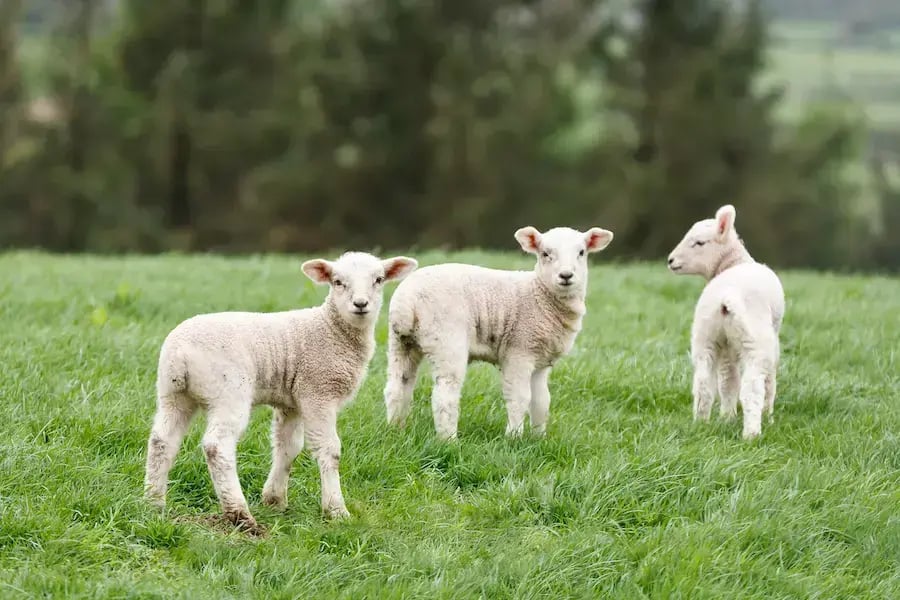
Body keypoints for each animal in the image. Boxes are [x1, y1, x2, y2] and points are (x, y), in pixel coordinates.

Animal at [144, 251, 418, 532]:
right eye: (337, 282)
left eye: (379, 279)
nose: (360, 304)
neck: (331, 329)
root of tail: (180, 353)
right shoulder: (318, 391)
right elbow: (329, 449)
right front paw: (336, 510)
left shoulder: (292, 401)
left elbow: (288, 447)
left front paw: (274, 500)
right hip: (228, 391)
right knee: (216, 446)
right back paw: (240, 515)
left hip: (172, 393)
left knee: (161, 441)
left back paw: (153, 503)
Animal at [384, 225, 616, 440]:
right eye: (545, 253)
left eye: (581, 252)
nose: (566, 275)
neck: (540, 295)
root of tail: (407, 301)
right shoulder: (519, 350)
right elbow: (520, 398)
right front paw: (514, 437)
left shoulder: (541, 360)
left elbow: (541, 401)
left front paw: (539, 438)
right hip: (447, 341)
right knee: (445, 395)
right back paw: (449, 440)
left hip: (400, 342)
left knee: (397, 387)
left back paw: (396, 430)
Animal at [664, 204, 784, 438]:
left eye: (699, 242)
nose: (670, 261)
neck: (733, 263)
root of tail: (727, 297)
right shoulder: (773, 339)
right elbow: (769, 381)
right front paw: (769, 416)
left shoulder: (725, 344)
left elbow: (727, 379)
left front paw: (727, 417)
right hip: (755, 340)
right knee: (752, 386)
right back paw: (752, 433)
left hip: (706, 335)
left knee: (705, 383)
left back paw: (702, 422)